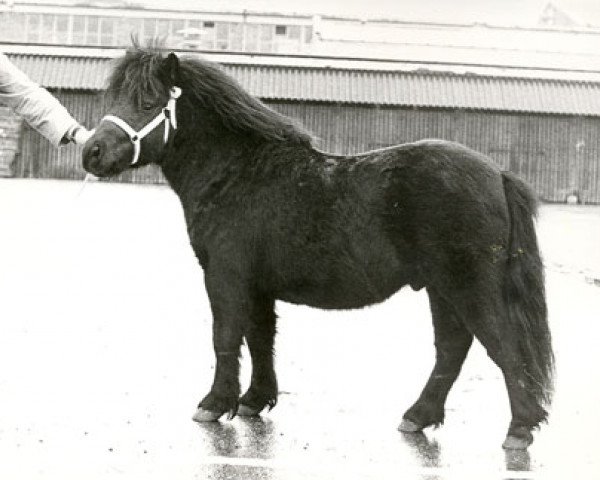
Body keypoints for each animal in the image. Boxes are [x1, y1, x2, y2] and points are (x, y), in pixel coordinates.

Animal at [83, 46, 552, 450]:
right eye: (114, 96)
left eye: (147, 101)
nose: (92, 152)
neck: (237, 173)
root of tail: (497, 174)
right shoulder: (257, 286)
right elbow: (260, 338)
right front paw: (254, 401)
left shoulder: (225, 275)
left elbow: (226, 336)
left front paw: (215, 404)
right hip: (441, 289)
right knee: (452, 349)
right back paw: (418, 416)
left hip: (467, 286)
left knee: (504, 348)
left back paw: (519, 430)